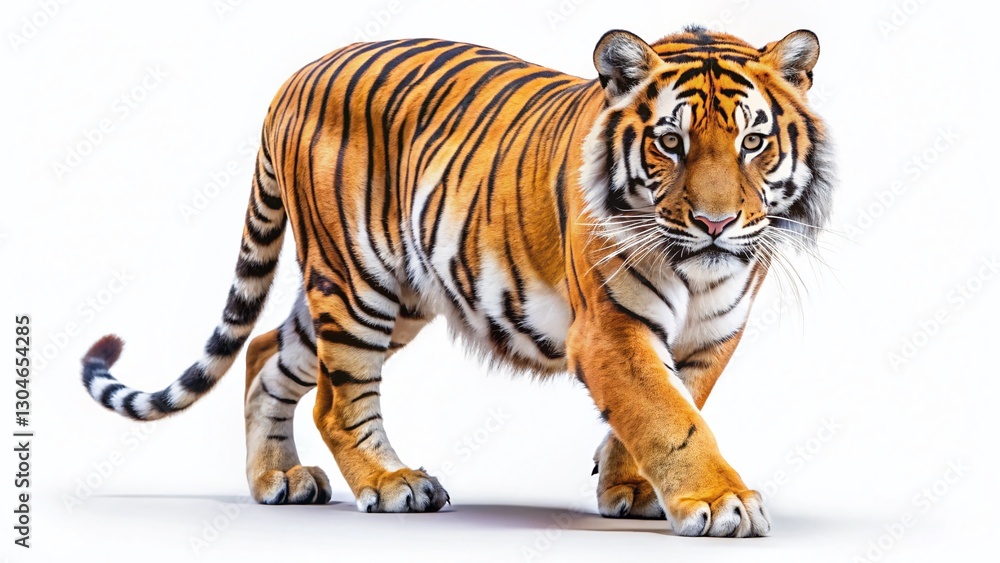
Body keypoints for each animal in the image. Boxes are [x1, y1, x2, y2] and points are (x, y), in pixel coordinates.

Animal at [80, 25, 833, 538]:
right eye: (670, 142)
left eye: (753, 142)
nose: (715, 222)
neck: (698, 273)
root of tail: (296, 75)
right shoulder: (610, 330)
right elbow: (668, 416)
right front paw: (718, 501)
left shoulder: (711, 336)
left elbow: (674, 407)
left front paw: (631, 488)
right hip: (356, 281)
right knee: (336, 399)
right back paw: (392, 482)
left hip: (387, 293)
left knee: (266, 353)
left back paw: (278, 480)